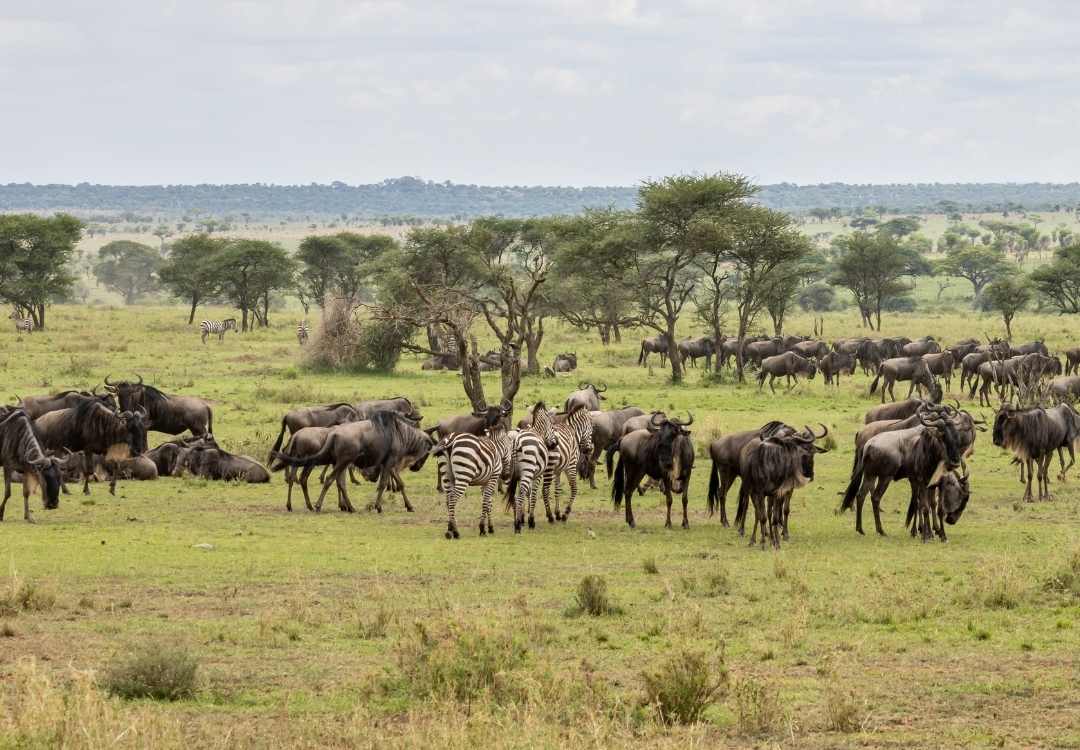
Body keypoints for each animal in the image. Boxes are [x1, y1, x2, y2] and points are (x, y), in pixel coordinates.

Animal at [432, 401, 513, 539]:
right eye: (510, 449)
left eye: (498, 416)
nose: (507, 475)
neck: (495, 446)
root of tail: (451, 441)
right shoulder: (493, 477)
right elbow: (486, 502)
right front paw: (483, 528)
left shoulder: (484, 481)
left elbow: (488, 502)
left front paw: (490, 527)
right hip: (463, 475)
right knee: (453, 499)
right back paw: (455, 532)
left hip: (447, 475)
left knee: (448, 499)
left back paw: (450, 528)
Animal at [504, 401, 559, 533]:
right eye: (552, 425)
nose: (555, 444)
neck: (537, 431)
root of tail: (516, 441)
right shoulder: (537, 475)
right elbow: (533, 495)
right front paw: (531, 521)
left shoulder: (519, 475)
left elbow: (527, 494)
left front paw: (523, 517)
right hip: (528, 470)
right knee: (519, 495)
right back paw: (517, 526)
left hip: (511, 472)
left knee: (515, 496)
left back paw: (516, 521)